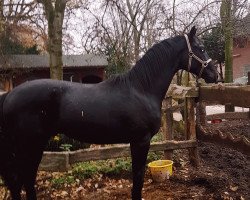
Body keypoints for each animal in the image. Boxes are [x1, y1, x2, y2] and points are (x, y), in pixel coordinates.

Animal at [0, 27, 217, 200]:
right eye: (201, 47)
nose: (215, 74)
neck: (141, 89)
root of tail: (9, 95)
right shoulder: (141, 140)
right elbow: (138, 178)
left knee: (24, 180)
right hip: (29, 144)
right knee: (20, 180)